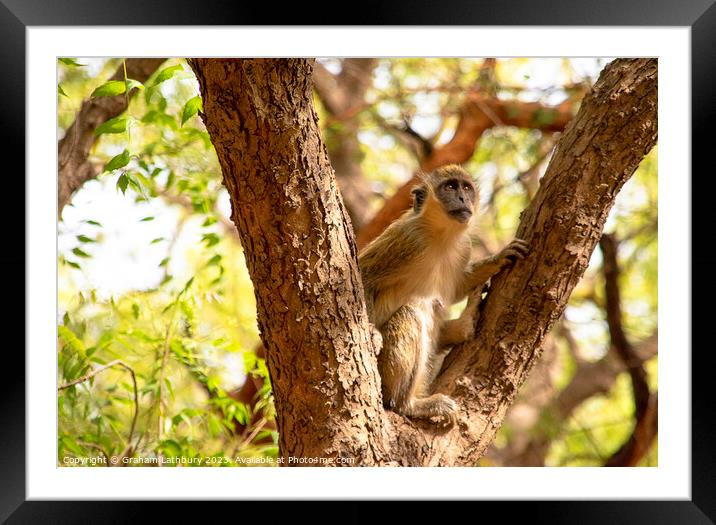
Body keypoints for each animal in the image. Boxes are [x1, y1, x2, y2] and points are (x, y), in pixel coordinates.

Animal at [358, 164, 532, 426]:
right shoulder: (407, 239)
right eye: (450, 187)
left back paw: (463, 326)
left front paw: (499, 257)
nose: (462, 199)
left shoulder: (463, 249)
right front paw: (371, 332)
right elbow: (364, 275)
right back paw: (409, 404)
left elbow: (458, 285)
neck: (440, 236)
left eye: (466, 188)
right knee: (410, 315)